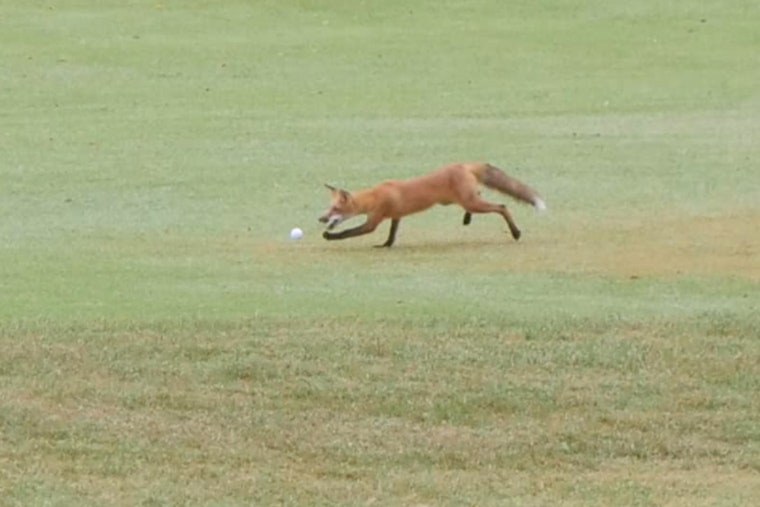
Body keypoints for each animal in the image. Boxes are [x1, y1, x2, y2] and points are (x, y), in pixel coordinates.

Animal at [319, 161, 546, 247]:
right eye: (328, 207)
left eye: (336, 209)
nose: (321, 218)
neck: (374, 195)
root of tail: (464, 164)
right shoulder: (396, 216)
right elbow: (392, 235)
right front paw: (386, 245)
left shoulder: (373, 221)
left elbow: (349, 232)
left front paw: (329, 236)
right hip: (465, 199)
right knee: (480, 199)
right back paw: (466, 219)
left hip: (471, 202)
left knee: (502, 207)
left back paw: (515, 232)